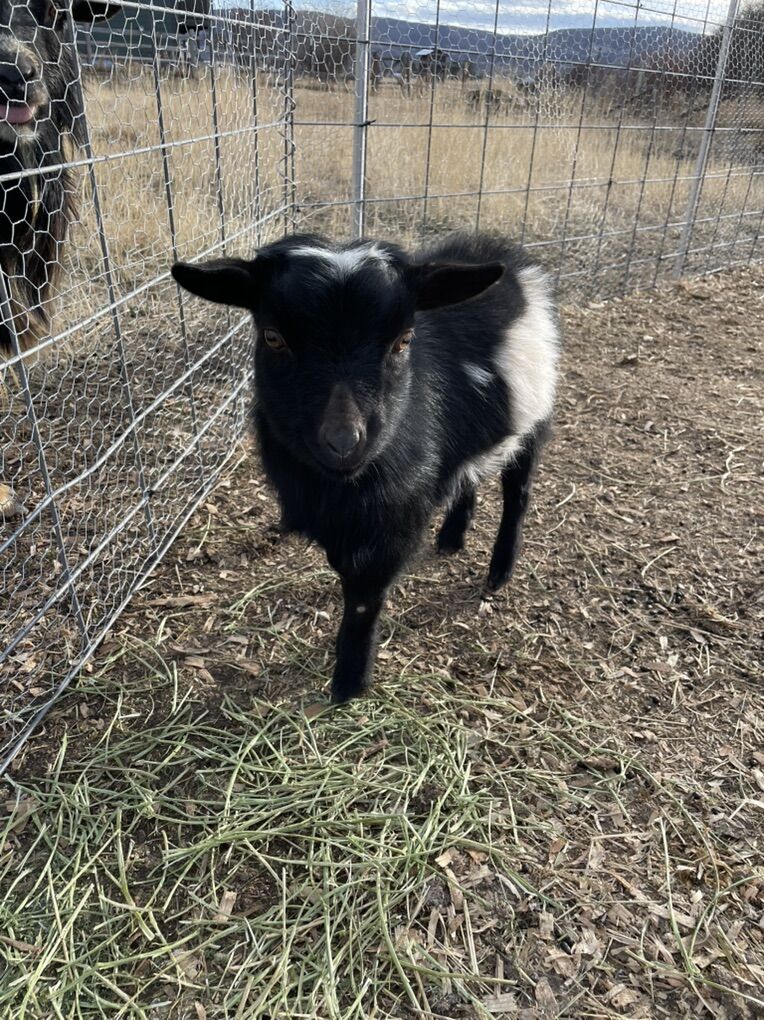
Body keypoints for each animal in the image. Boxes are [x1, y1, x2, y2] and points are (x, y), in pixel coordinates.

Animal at [172, 233, 559, 702]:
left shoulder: (395, 519)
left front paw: (349, 683)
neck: (343, 489)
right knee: (466, 479)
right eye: (273, 338)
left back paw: (500, 570)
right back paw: (451, 537)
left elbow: (363, 596)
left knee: (517, 493)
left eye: (404, 340)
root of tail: (497, 251)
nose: (343, 443)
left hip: (534, 419)